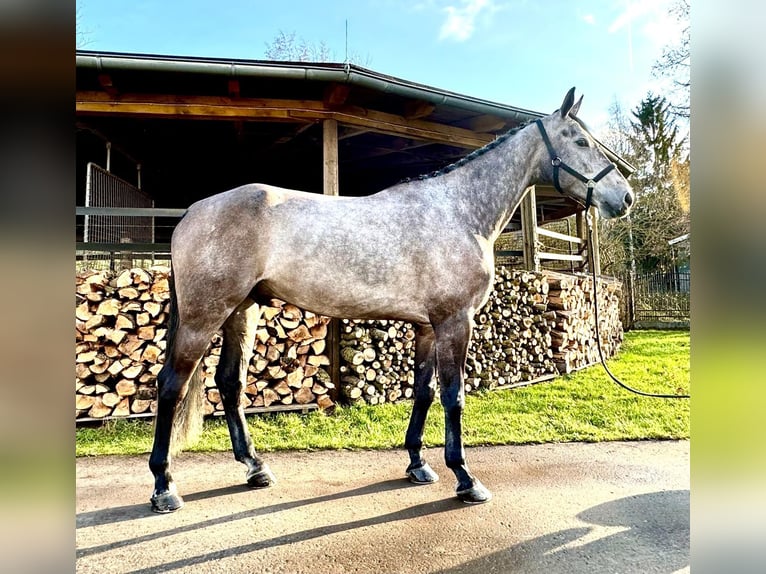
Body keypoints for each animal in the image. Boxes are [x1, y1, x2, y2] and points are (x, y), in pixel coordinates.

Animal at [149, 88, 634, 513]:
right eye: (579, 140)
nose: (625, 198)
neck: (458, 212)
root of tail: (191, 212)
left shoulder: (427, 326)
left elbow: (424, 391)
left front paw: (418, 464)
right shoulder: (455, 322)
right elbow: (453, 395)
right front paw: (466, 479)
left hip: (241, 311)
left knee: (230, 384)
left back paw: (255, 468)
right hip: (204, 316)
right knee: (171, 385)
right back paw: (164, 486)